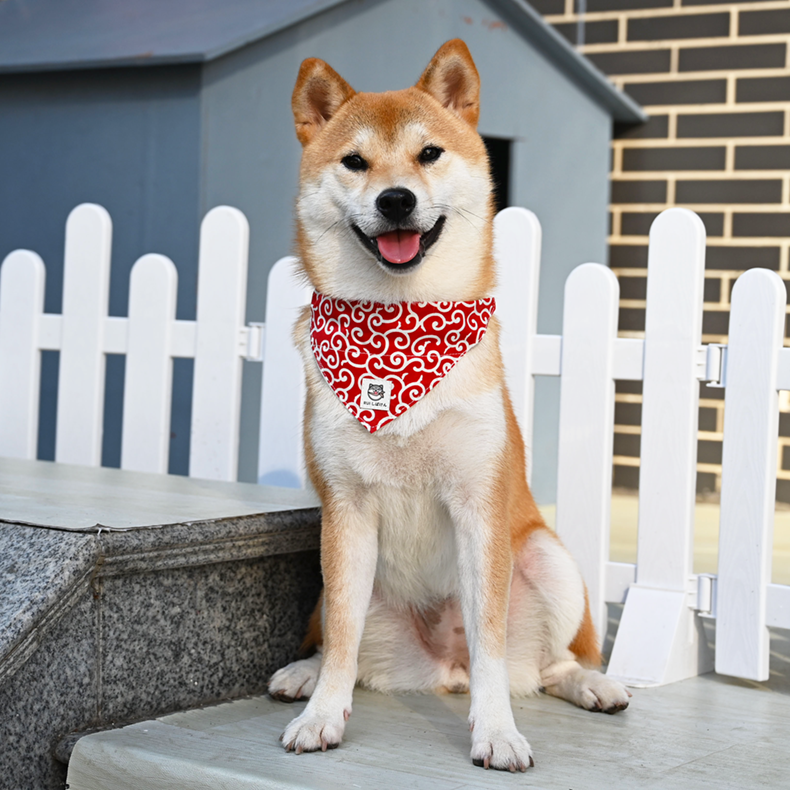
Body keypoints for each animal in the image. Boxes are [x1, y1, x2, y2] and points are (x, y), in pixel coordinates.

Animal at [268, 38, 632, 772]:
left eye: (429, 153)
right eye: (355, 162)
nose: (396, 199)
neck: (399, 330)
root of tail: (444, 669)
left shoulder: (478, 508)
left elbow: (491, 646)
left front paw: (496, 732)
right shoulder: (346, 511)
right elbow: (342, 639)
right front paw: (322, 716)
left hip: (548, 559)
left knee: (549, 665)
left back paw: (592, 684)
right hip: (343, 582)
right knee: (342, 647)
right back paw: (303, 675)